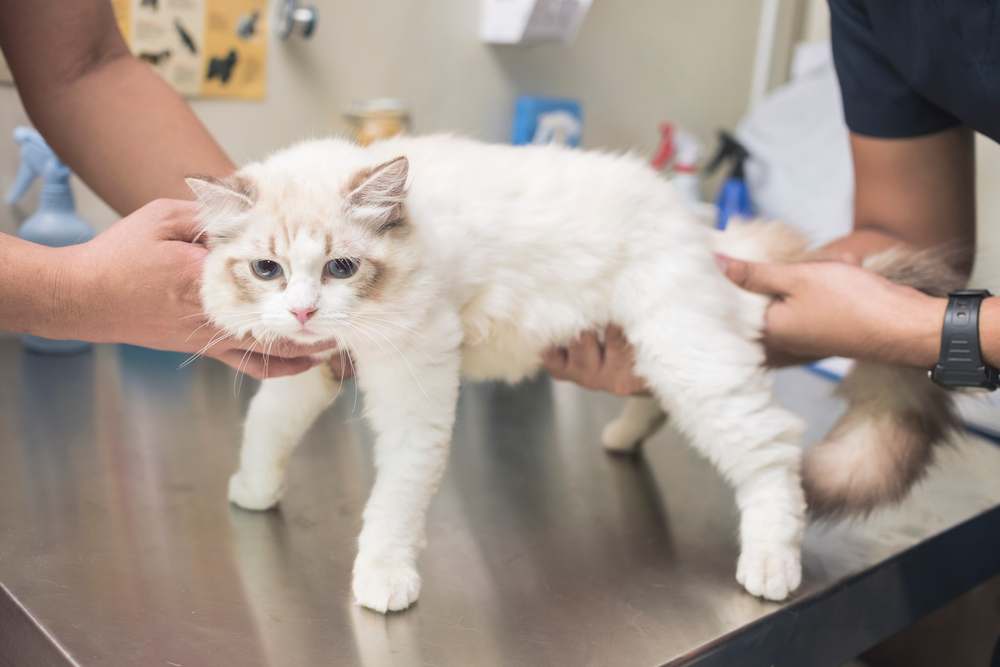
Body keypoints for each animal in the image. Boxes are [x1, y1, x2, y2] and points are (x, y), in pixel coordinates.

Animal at [188, 134, 960, 616]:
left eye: (341, 267)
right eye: (268, 269)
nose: (304, 308)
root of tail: (706, 231)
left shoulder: (416, 391)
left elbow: (393, 505)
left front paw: (383, 577)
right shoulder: (312, 368)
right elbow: (267, 429)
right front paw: (253, 492)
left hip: (688, 359)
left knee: (774, 452)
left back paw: (771, 564)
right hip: (660, 359)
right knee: (665, 408)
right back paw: (622, 439)